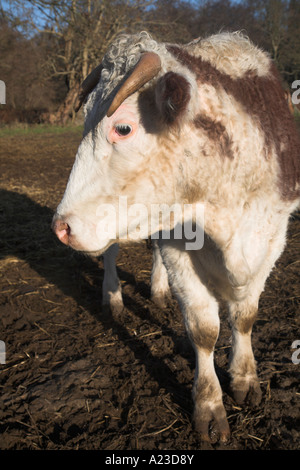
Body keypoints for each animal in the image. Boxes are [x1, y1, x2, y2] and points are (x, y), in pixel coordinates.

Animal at [52, 32, 298, 440]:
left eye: (123, 128)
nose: (61, 226)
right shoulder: (179, 244)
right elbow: (204, 330)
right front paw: (210, 406)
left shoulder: (272, 237)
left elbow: (245, 317)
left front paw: (245, 377)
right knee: (111, 253)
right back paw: (113, 297)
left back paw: (158, 290)